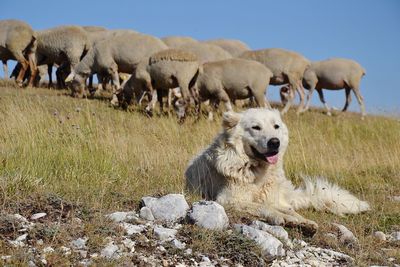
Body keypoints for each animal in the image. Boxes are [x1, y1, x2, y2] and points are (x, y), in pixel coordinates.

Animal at [186, 109, 370, 232]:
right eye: (256, 127)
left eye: (276, 126)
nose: (275, 142)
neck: (257, 172)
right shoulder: (228, 200)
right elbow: (264, 208)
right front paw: (281, 218)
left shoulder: (271, 199)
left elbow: (286, 210)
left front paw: (303, 221)